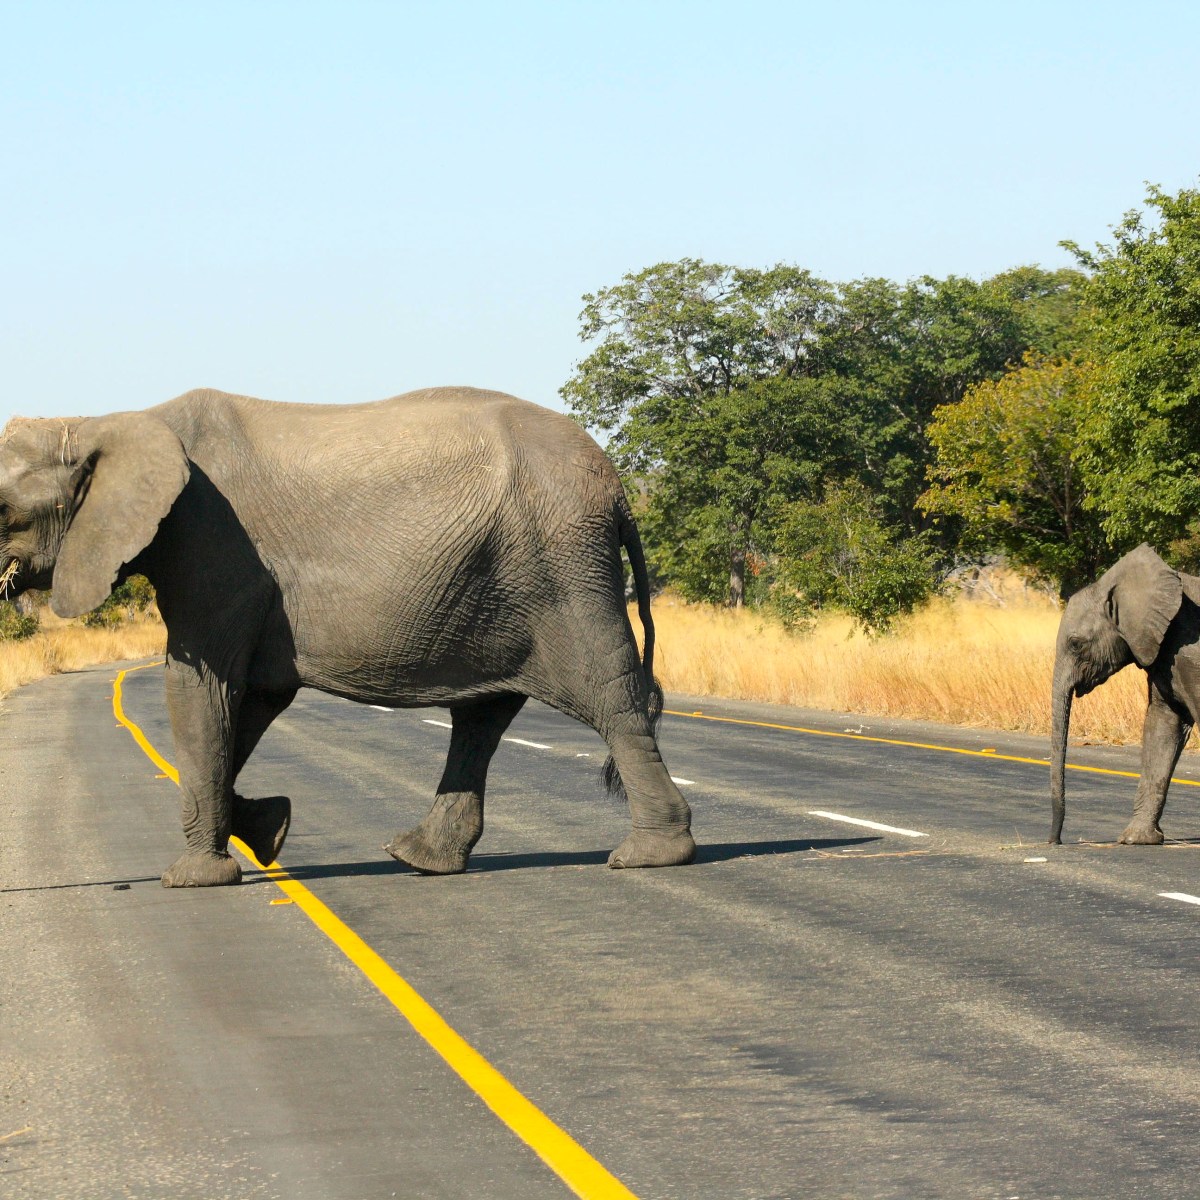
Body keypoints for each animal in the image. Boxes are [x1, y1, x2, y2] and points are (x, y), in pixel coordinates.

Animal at [0, 387, 696, 886]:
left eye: (4, 513)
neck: (102, 421)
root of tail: (617, 487)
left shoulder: (211, 542)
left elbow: (201, 687)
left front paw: (194, 879)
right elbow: (250, 699)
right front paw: (271, 827)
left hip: (563, 566)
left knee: (610, 696)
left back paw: (650, 855)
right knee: (482, 714)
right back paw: (418, 859)